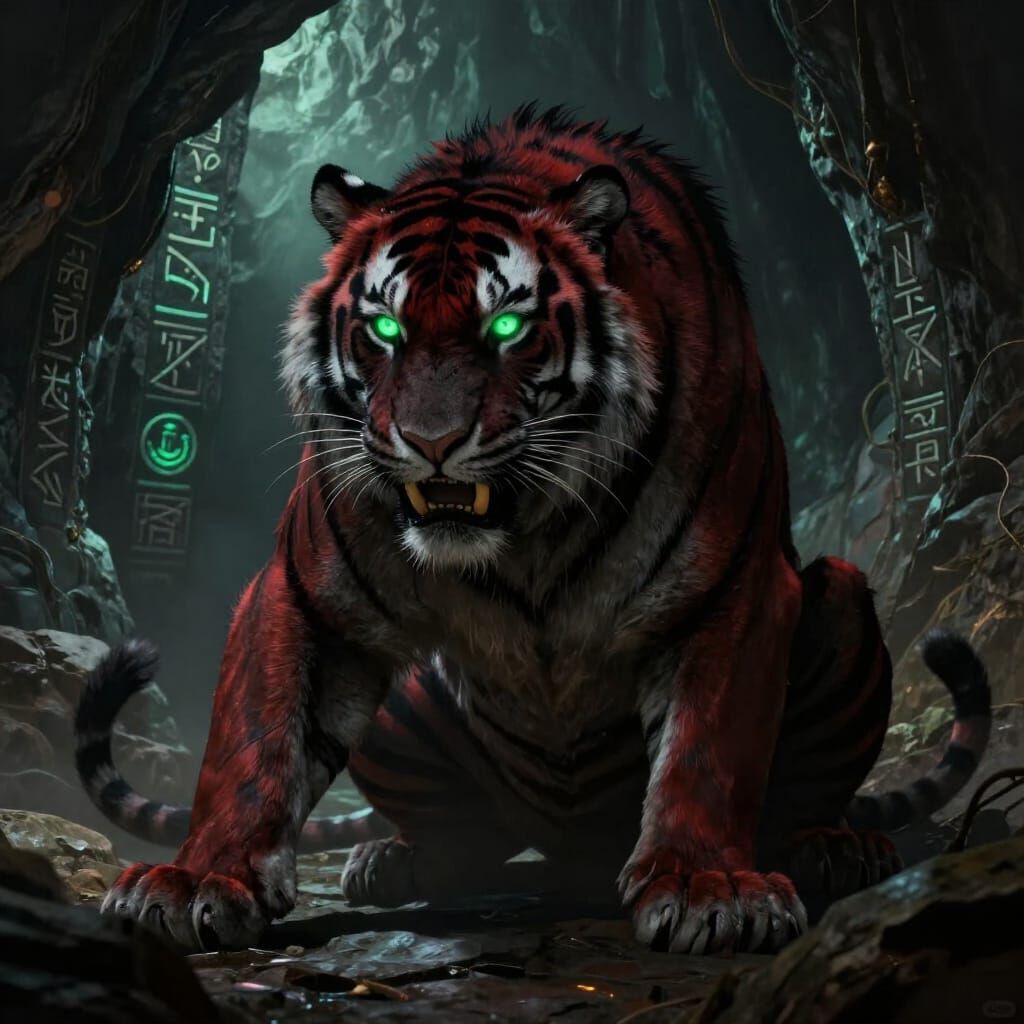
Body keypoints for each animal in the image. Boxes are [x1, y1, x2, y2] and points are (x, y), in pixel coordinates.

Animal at [75, 106, 991, 955]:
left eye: (507, 327)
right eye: (386, 329)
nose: (432, 442)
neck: (525, 535)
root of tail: (569, 851)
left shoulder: (731, 589)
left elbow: (707, 749)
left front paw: (709, 889)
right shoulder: (305, 594)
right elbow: (252, 743)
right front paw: (196, 881)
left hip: (840, 595)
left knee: (808, 790)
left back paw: (836, 847)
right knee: (470, 838)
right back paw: (394, 862)